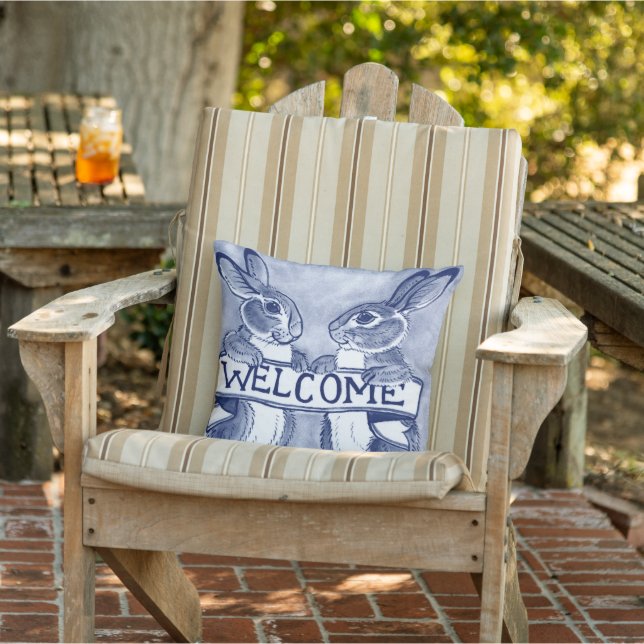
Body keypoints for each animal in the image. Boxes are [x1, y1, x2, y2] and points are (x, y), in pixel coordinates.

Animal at [206, 247, 308, 446]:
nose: (297, 331)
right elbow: (234, 342)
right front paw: (255, 358)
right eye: (273, 307)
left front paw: (300, 364)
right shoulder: (234, 338)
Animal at [311, 267, 462, 452]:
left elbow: (398, 371)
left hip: (380, 444)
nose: (331, 327)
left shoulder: (398, 367)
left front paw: (370, 376)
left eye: (365, 317)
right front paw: (321, 365)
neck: (358, 352)